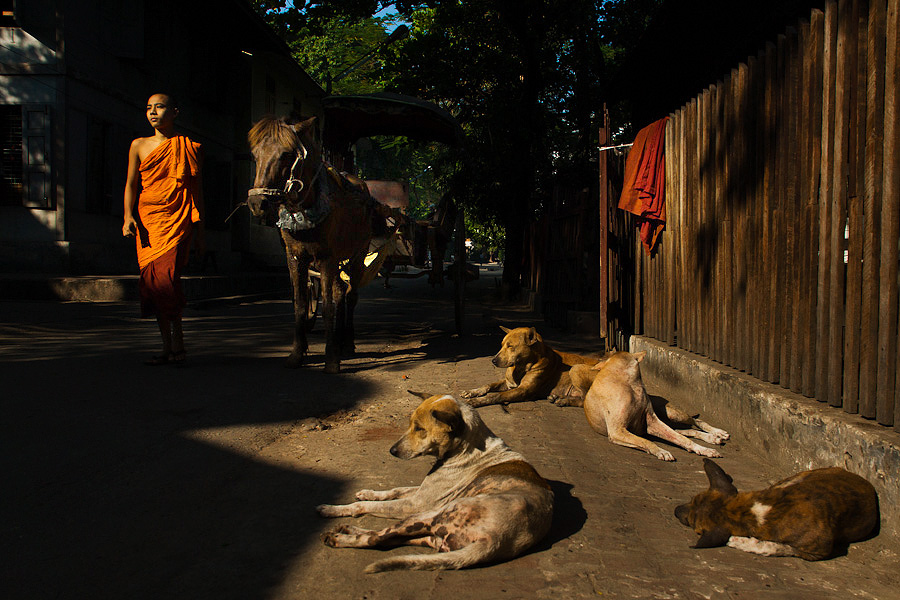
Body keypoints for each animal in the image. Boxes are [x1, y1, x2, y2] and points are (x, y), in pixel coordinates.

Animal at [248, 115, 388, 372]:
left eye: (286, 154)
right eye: (255, 154)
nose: (257, 203)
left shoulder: (326, 258)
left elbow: (329, 306)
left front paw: (331, 358)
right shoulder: (295, 257)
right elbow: (300, 304)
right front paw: (297, 353)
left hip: (356, 254)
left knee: (350, 295)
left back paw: (347, 343)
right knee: (340, 291)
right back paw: (340, 340)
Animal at [316, 392, 556, 576]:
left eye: (419, 429)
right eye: (410, 425)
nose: (391, 451)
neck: (465, 448)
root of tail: (494, 541)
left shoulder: (416, 504)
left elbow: (366, 506)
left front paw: (332, 509)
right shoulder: (420, 493)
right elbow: (393, 490)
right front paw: (368, 492)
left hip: (427, 515)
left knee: (377, 539)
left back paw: (340, 536)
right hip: (431, 536)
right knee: (387, 538)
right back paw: (348, 529)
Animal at [460, 328, 600, 408]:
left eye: (510, 346)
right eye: (502, 345)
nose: (493, 361)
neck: (521, 366)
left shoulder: (523, 390)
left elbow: (496, 396)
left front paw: (477, 401)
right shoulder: (508, 383)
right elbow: (488, 385)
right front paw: (472, 391)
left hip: (575, 369)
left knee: (585, 401)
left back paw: (563, 401)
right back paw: (559, 399)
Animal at [568, 350, 724, 462]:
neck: (629, 383)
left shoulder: (652, 421)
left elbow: (682, 439)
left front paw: (704, 449)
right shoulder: (617, 431)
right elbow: (647, 441)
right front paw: (661, 451)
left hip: (673, 414)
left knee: (696, 421)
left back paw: (717, 433)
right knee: (686, 431)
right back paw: (712, 437)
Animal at [676, 460, 880, 564]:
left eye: (694, 526)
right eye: (692, 499)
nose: (675, 510)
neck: (750, 511)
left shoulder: (818, 550)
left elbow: (778, 547)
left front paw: (743, 542)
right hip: (800, 476)